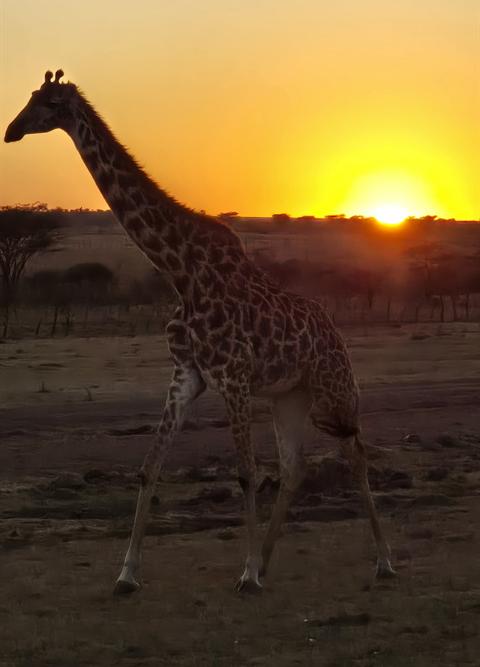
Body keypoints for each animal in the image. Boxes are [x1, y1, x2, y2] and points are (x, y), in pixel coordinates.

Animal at [5, 70, 396, 594]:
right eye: (30, 98)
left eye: (47, 103)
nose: (12, 131)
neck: (180, 272)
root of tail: (335, 331)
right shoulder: (186, 375)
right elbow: (149, 467)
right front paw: (127, 573)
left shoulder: (232, 377)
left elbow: (246, 472)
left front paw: (246, 573)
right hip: (288, 396)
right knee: (294, 467)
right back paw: (269, 560)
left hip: (333, 388)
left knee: (355, 452)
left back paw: (382, 562)